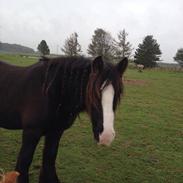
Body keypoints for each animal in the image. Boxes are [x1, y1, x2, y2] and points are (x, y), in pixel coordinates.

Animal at [0, 56, 128, 183]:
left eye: (118, 93)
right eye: (94, 93)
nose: (106, 136)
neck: (51, 93)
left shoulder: (56, 132)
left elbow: (49, 158)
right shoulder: (31, 132)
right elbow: (24, 162)